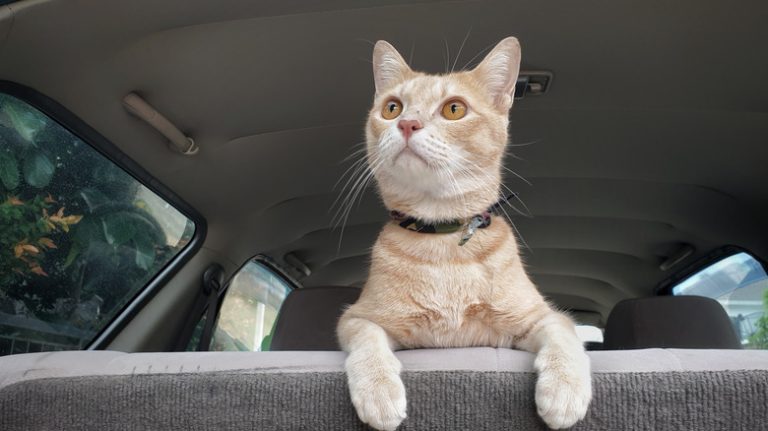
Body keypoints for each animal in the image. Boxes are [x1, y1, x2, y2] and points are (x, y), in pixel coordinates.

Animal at [338, 38, 592, 430]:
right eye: (392, 108)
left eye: (454, 109)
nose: (407, 123)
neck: (443, 240)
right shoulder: (358, 318)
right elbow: (368, 341)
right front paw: (378, 390)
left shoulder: (541, 317)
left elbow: (565, 337)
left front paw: (564, 390)